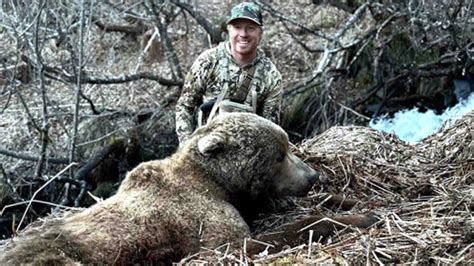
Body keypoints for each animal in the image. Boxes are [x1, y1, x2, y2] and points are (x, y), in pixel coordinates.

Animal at [0, 111, 322, 264]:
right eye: (279, 155)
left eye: (287, 145)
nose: (312, 176)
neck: (214, 182)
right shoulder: (206, 219)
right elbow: (236, 244)